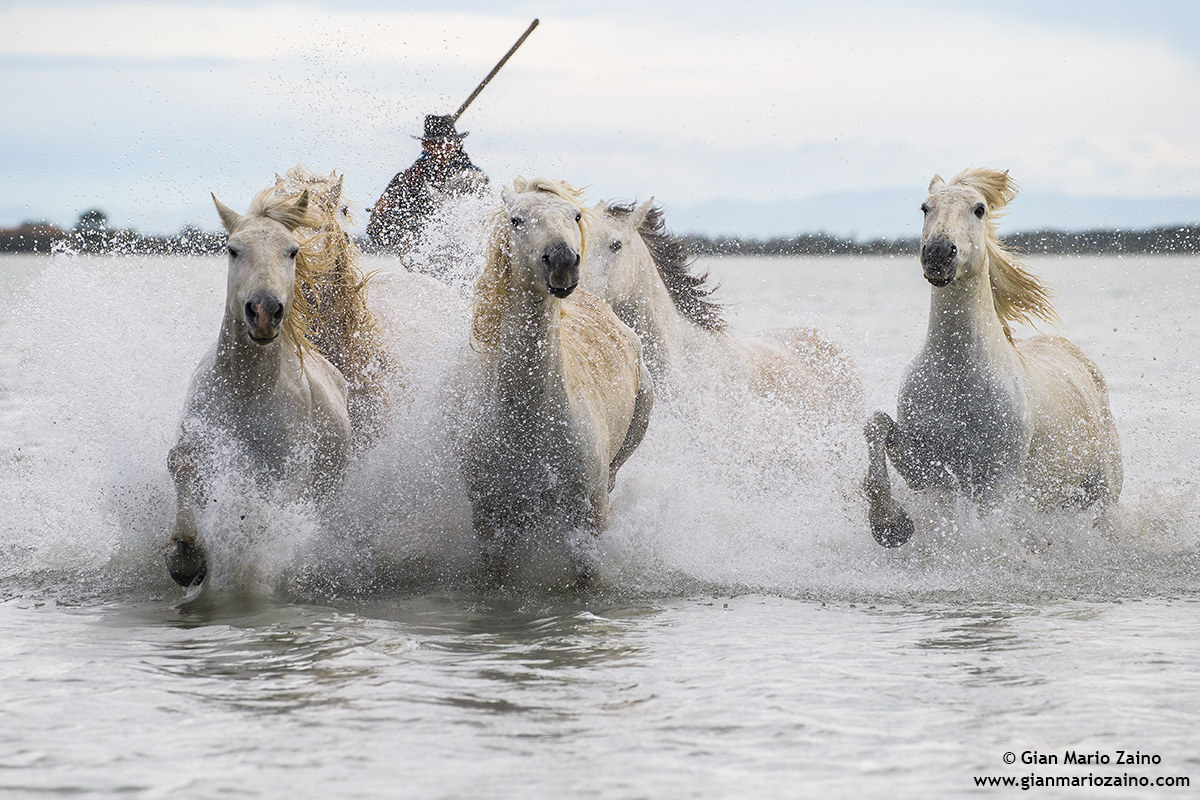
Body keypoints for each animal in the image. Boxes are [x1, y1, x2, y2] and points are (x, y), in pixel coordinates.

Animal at [165, 188, 353, 587]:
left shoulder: (291, 473)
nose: (264, 311)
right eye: (232, 249)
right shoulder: (198, 441)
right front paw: (186, 557)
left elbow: (262, 514)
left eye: (292, 251)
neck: (246, 390)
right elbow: (181, 464)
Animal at [462, 177, 654, 587]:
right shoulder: (490, 526)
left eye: (575, 215)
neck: (529, 422)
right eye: (516, 219)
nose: (563, 261)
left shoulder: (588, 519)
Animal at [863, 168, 1123, 547]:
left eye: (979, 209)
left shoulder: (997, 479)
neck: (958, 374)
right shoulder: (924, 465)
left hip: (1103, 492)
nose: (938, 253)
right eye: (925, 207)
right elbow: (875, 425)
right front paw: (890, 525)